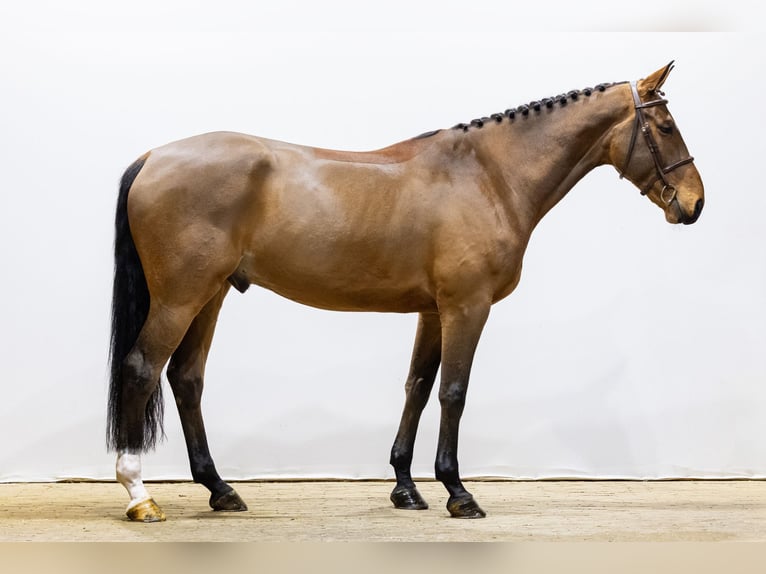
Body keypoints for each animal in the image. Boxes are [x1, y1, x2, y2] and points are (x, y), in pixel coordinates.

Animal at [108, 62, 704, 522]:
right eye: (666, 125)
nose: (694, 204)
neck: (488, 175)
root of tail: (154, 156)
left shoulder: (433, 311)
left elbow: (417, 386)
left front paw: (406, 488)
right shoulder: (466, 307)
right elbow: (453, 392)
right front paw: (458, 493)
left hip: (210, 295)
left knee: (186, 378)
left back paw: (221, 490)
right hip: (181, 297)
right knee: (142, 369)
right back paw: (140, 496)